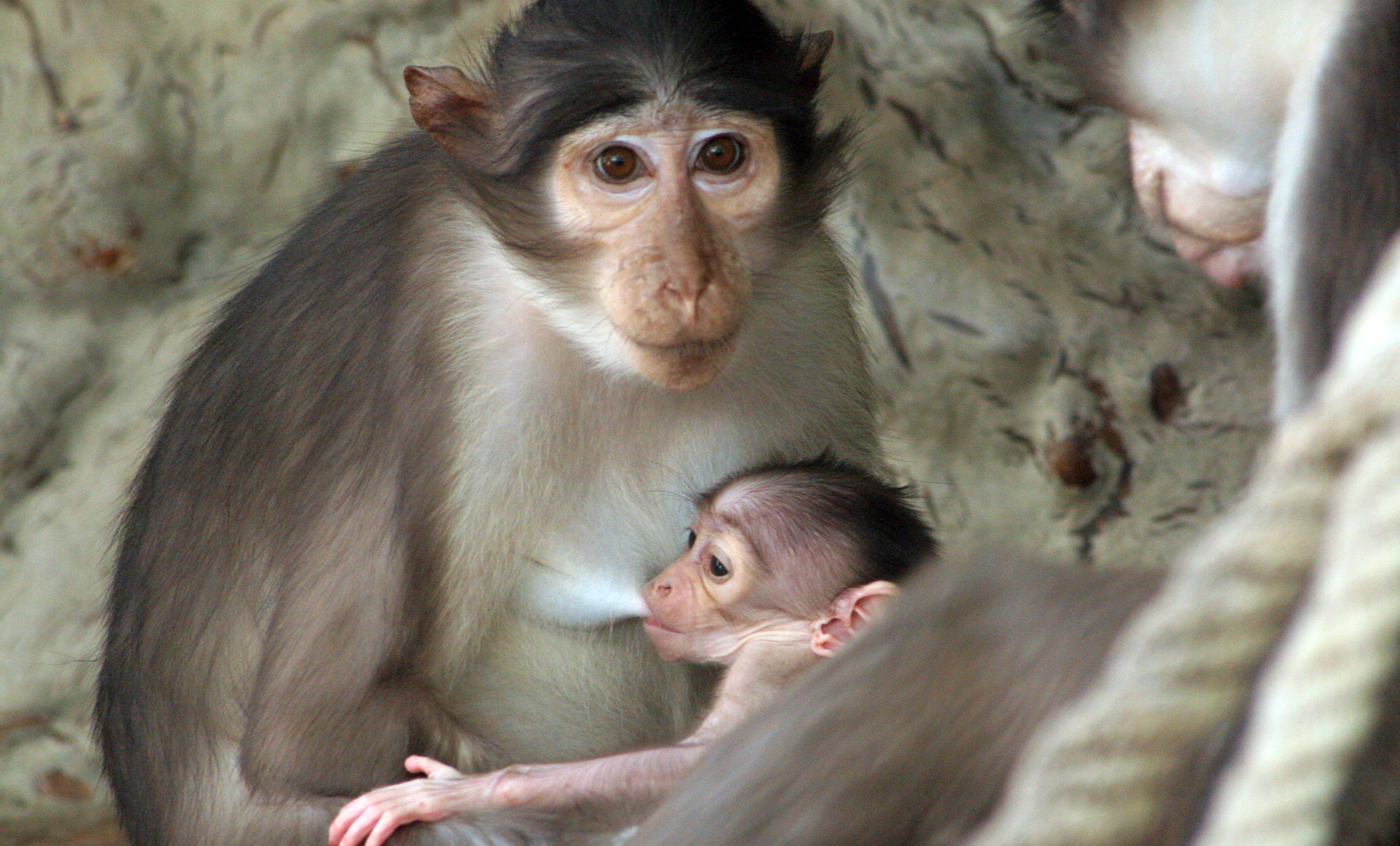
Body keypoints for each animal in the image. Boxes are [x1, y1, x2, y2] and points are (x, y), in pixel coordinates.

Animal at [95, 1, 873, 846]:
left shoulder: (809, 298)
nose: (687, 278)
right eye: (618, 167)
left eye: (722, 155)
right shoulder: (457, 325)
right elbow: (311, 728)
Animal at [331, 459, 935, 840]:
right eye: (690, 538)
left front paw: (464, 791)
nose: (661, 584)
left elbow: (703, 765)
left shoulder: (770, 667)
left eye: (717, 567)